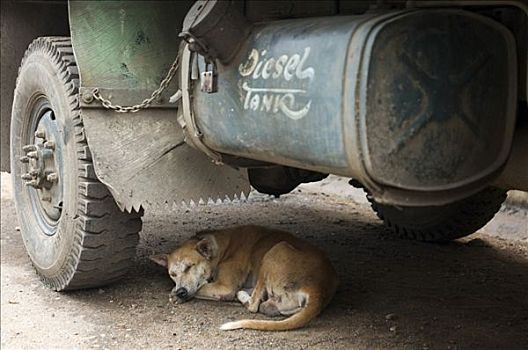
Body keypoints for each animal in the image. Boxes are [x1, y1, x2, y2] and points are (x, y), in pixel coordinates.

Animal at [151, 226, 336, 330]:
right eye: (172, 274)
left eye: (189, 266)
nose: (181, 291)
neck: (222, 247)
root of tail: (319, 288)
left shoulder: (224, 287)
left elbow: (201, 287)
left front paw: (177, 294)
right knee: (265, 306)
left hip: (275, 250)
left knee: (253, 306)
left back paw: (241, 295)